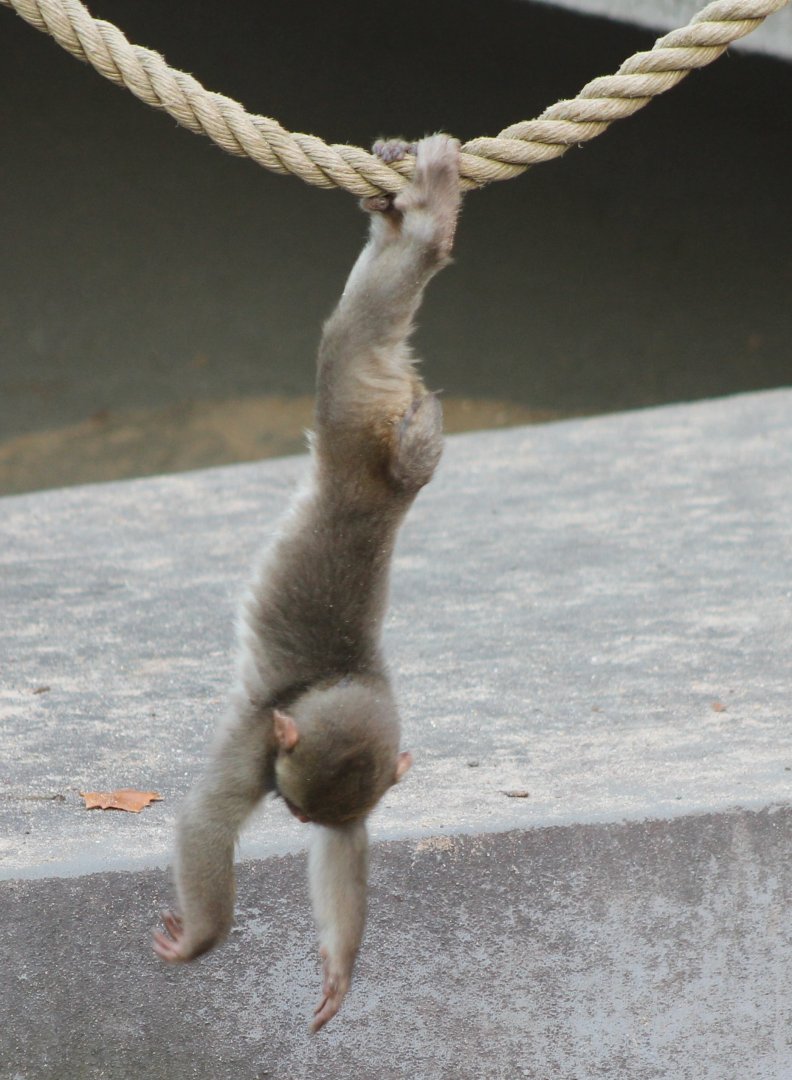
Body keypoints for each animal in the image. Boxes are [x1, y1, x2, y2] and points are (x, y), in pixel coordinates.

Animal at [153, 134, 461, 1031]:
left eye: (301, 811)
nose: (289, 817)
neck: (340, 679)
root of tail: (381, 479)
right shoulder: (260, 739)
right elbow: (208, 822)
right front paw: (206, 939)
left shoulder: (291, 755)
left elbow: (332, 846)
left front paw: (335, 966)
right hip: (357, 402)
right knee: (365, 324)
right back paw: (417, 218)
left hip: (359, 413)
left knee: (376, 311)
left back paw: (417, 218)